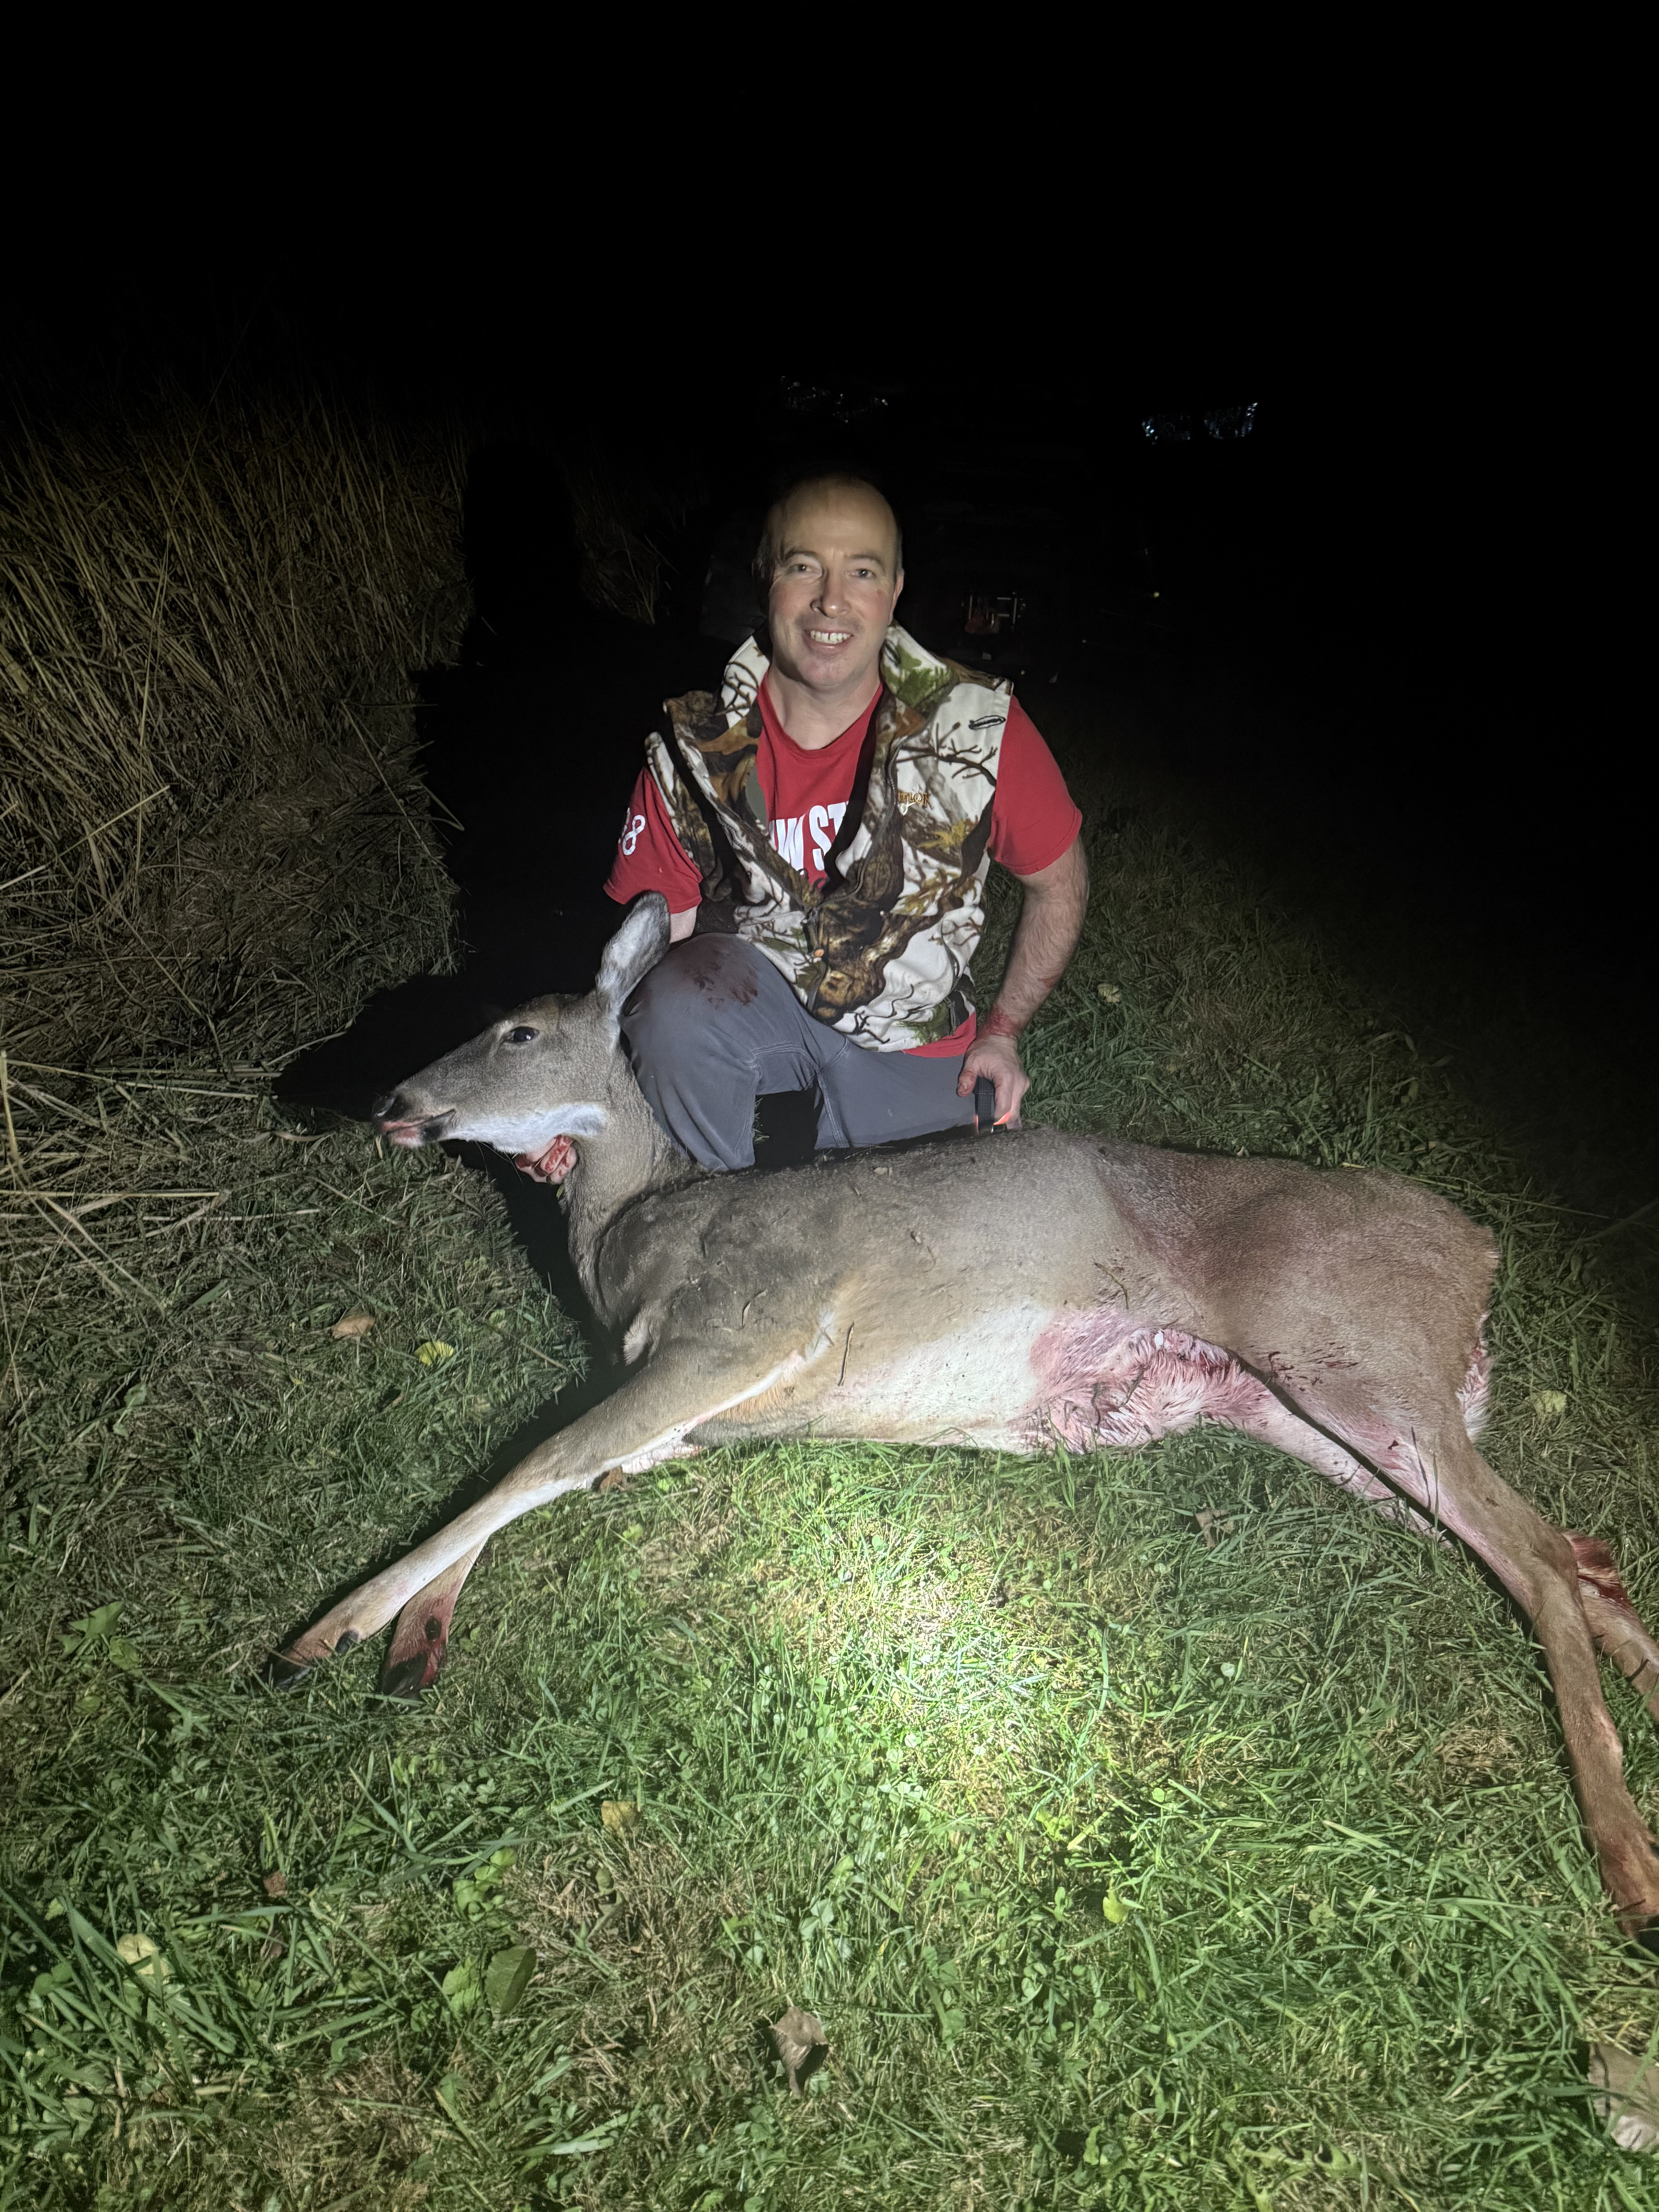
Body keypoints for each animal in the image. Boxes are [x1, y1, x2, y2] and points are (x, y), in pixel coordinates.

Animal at [277, 892, 1659, 1939]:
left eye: (514, 1029)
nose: (391, 1099)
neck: (628, 1229)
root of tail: (1478, 1250)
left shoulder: (746, 1327)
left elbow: (539, 1457)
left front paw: (334, 1627)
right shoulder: (678, 1412)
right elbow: (556, 1470)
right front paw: (415, 1638)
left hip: (1349, 1356)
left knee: (1534, 1554)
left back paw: (1625, 1859)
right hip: (1301, 1411)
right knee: (1561, 1549)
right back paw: (1641, 1679)